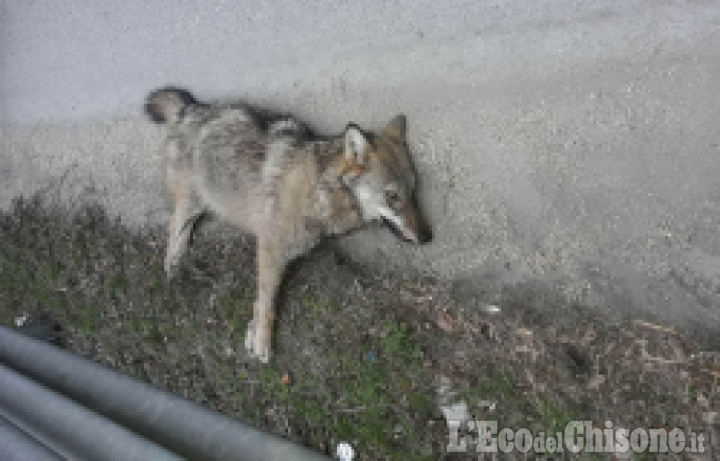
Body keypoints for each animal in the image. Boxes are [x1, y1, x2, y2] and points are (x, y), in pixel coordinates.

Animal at [143, 85, 430, 360]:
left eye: (413, 193)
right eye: (392, 196)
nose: (427, 237)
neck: (320, 191)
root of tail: (191, 108)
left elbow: (259, 301)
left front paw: (252, 333)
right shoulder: (269, 248)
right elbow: (267, 301)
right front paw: (262, 342)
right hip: (193, 201)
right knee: (175, 227)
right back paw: (175, 268)